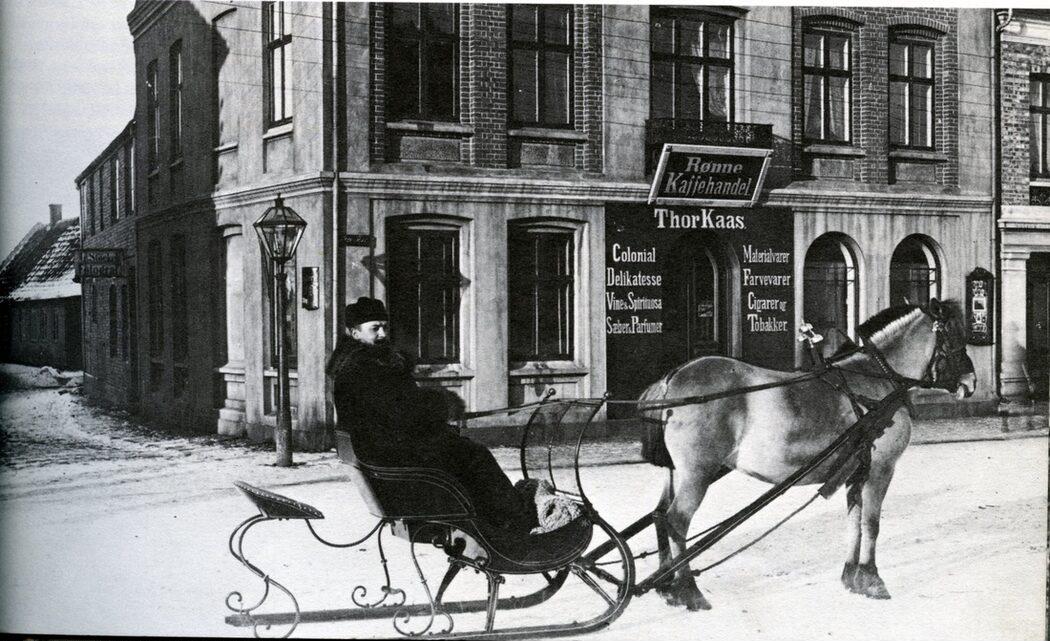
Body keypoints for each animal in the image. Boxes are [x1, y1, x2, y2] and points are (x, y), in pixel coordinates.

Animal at [640, 299, 976, 611]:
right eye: (955, 336)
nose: (970, 382)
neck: (876, 379)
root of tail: (672, 379)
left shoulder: (857, 470)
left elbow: (854, 520)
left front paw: (852, 577)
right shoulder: (881, 468)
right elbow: (871, 523)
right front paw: (872, 578)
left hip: (678, 472)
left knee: (659, 515)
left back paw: (668, 586)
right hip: (698, 473)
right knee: (677, 520)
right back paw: (689, 590)